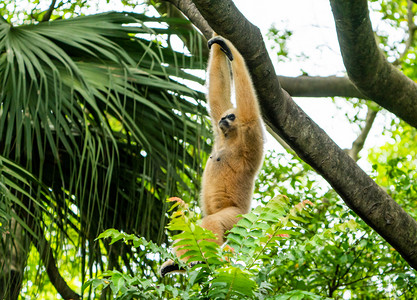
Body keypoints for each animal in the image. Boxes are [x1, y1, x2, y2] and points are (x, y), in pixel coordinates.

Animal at [160, 35, 264, 276]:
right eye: (225, 116)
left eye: (231, 116)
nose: (224, 120)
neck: (231, 139)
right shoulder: (220, 131)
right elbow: (218, 95)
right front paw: (220, 45)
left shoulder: (251, 130)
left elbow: (250, 108)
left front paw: (231, 50)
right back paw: (176, 264)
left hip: (236, 218)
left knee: (212, 223)